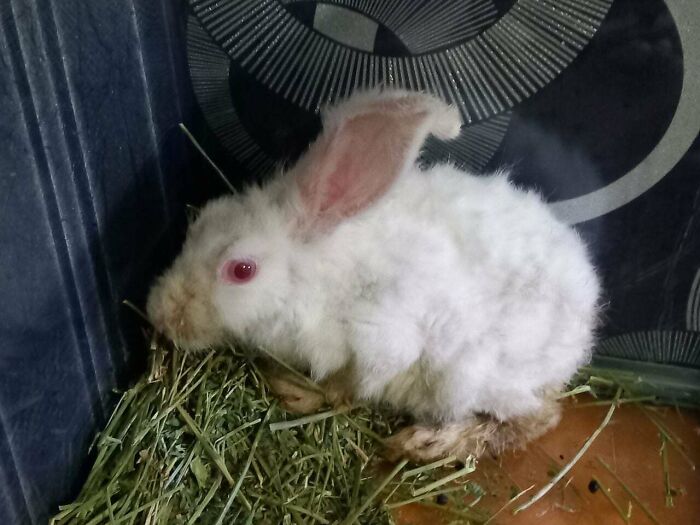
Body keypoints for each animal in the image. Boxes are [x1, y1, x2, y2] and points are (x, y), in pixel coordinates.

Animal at [146, 89, 601, 462]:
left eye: (242, 270)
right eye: (200, 222)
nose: (158, 313)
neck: (314, 273)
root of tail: (584, 323)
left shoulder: (380, 343)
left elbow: (345, 387)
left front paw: (294, 390)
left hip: (473, 378)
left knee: (537, 419)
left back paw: (425, 443)